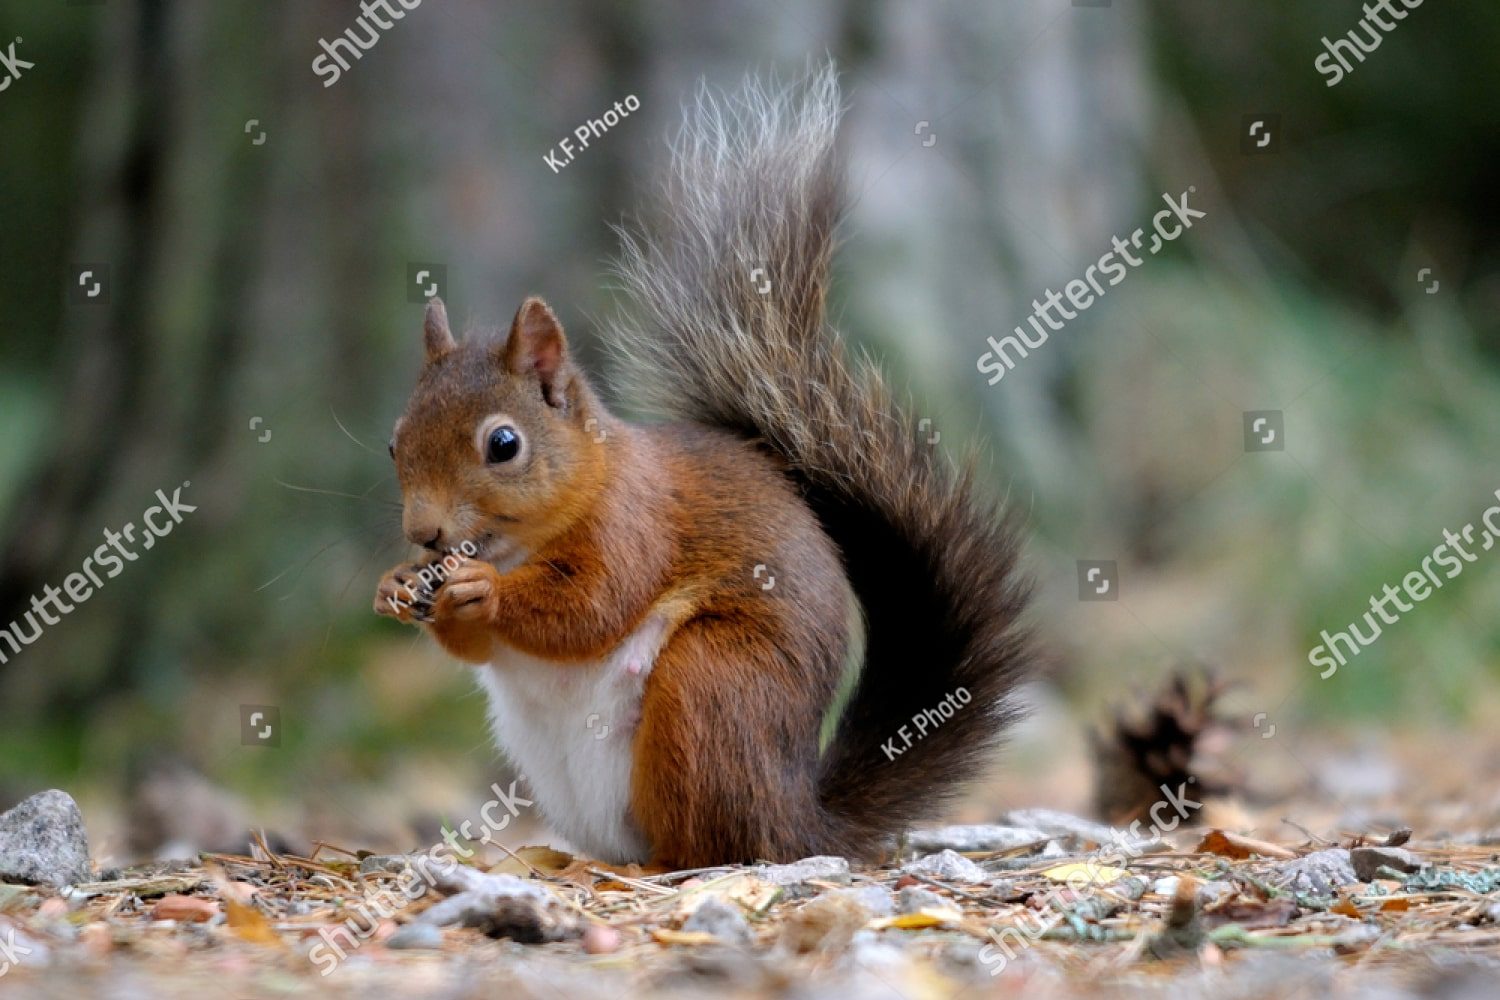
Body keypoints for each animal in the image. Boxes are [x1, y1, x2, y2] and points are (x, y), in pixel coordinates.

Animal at [374, 66, 1032, 870]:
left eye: (503, 445)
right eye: (395, 442)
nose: (425, 534)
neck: (524, 539)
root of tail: (798, 816)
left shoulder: (636, 521)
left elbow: (592, 605)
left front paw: (481, 588)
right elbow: (478, 644)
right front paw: (397, 585)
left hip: (710, 686)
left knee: (713, 842)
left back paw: (667, 861)